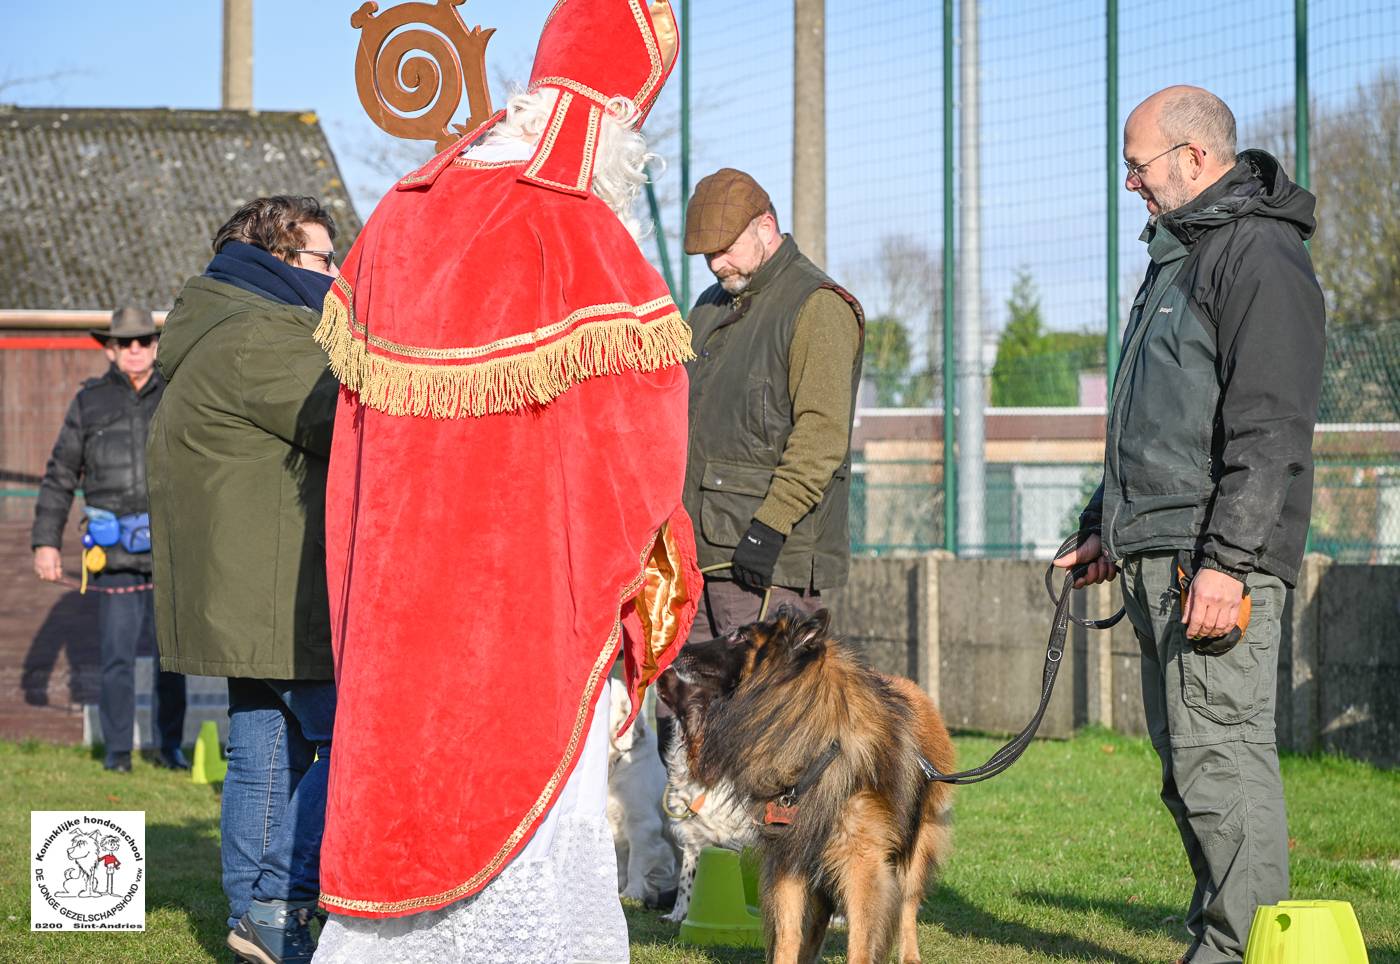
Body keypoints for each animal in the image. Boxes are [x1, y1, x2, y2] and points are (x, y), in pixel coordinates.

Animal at [655, 610, 952, 962]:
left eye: (739, 636)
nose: (677, 651)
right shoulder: (789, 854)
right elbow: (788, 933)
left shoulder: (862, 862)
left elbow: (860, 940)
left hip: (914, 848)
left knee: (907, 905)